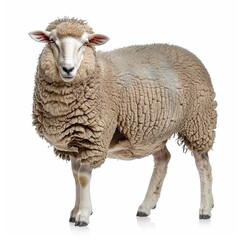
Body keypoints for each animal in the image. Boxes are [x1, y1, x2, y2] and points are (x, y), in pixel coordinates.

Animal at [28, 17, 218, 227]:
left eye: (85, 43)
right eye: (52, 41)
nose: (68, 69)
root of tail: (190, 54)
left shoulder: (94, 139)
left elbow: (83, 177)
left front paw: (83, 215)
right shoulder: (75, 142)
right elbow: (75, 175)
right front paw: (75, 211)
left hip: (199, 121)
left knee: (203, 165)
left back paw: (206, 209)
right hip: (153, 132)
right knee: (163, 159)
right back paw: (146, 206)